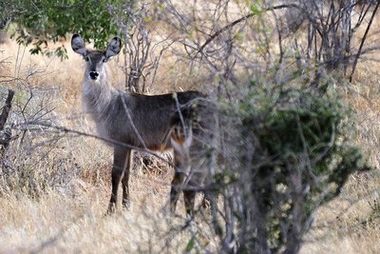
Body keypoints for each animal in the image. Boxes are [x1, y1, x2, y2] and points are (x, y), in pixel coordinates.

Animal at [70, 34, 214, 216]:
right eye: (87, 58)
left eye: (104, 59)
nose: (94, 73)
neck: (108, 105)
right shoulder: (130, 146)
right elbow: (127, 175)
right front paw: (126, 206)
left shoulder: (120, 144)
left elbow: (115, 175)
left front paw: (110, 210)